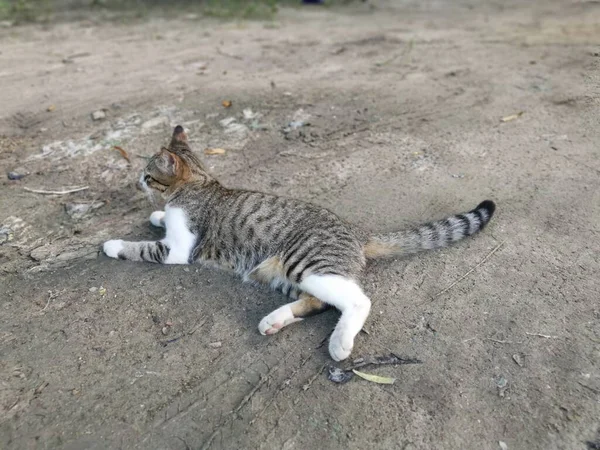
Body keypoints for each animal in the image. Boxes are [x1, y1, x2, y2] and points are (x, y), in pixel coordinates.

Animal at [104, 126, 496, 362]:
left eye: (148, 175)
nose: (137, 181)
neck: (199, 184)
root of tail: (355, 233)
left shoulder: (177, 249)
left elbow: (142, 247)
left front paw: (112, 244)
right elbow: (159, 223)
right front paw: (156, 216)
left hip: (306, 263)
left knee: (357, 300)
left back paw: (339, 343)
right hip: (288, 275)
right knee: (318, 303)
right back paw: (274, 321)